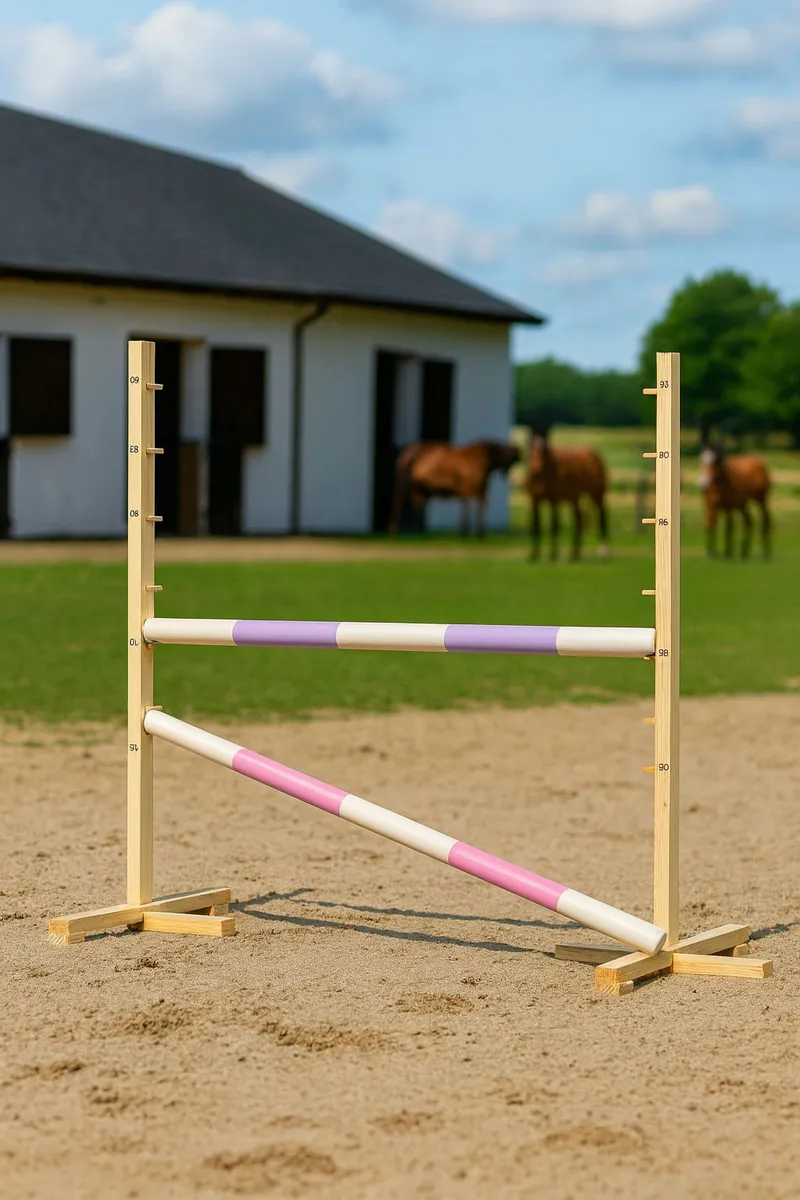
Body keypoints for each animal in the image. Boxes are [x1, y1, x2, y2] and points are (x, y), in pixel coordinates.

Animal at [387, 439, 519, 537]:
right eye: (502, 450)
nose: (516, 451)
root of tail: (406, 452)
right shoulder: (467, 490)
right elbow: (467, 509)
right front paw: (465, 532)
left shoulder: (481, 492)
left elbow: (478, 510)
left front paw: (479, 533)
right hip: (404, 485)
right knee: (399, 503)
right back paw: (396, 529)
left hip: (417, 489)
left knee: (416, 506)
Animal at [526, 433, 609, 562]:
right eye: (531, 449)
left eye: (543, 452)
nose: (536, 469)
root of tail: (595, 455)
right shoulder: (535, 501)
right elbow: (536, 526)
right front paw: (534, 555)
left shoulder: (553, 502)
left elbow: (554, 526)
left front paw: (553, 555)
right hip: (575, 499)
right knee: (580, 520)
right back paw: (574, 554)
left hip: (597, 495)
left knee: (602, 518)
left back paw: (603, 552)